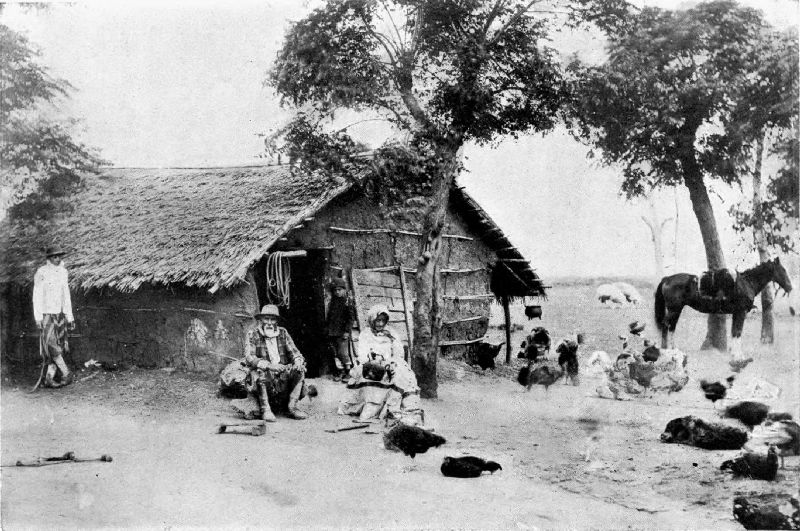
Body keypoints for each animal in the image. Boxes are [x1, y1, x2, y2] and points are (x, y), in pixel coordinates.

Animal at [656, 258, 792, 358]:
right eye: (783, 270)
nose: (790, 287)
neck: (746, 283)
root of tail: (667, 279)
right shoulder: (741, 312)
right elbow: (738, 332)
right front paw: (738, 355)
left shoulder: (736, 313)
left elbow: (734, 332)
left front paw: (734, 353)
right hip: (674, 309)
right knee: (665, 324)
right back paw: (663, 349)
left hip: (676, 310)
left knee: (671, 326)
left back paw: (674, 349)